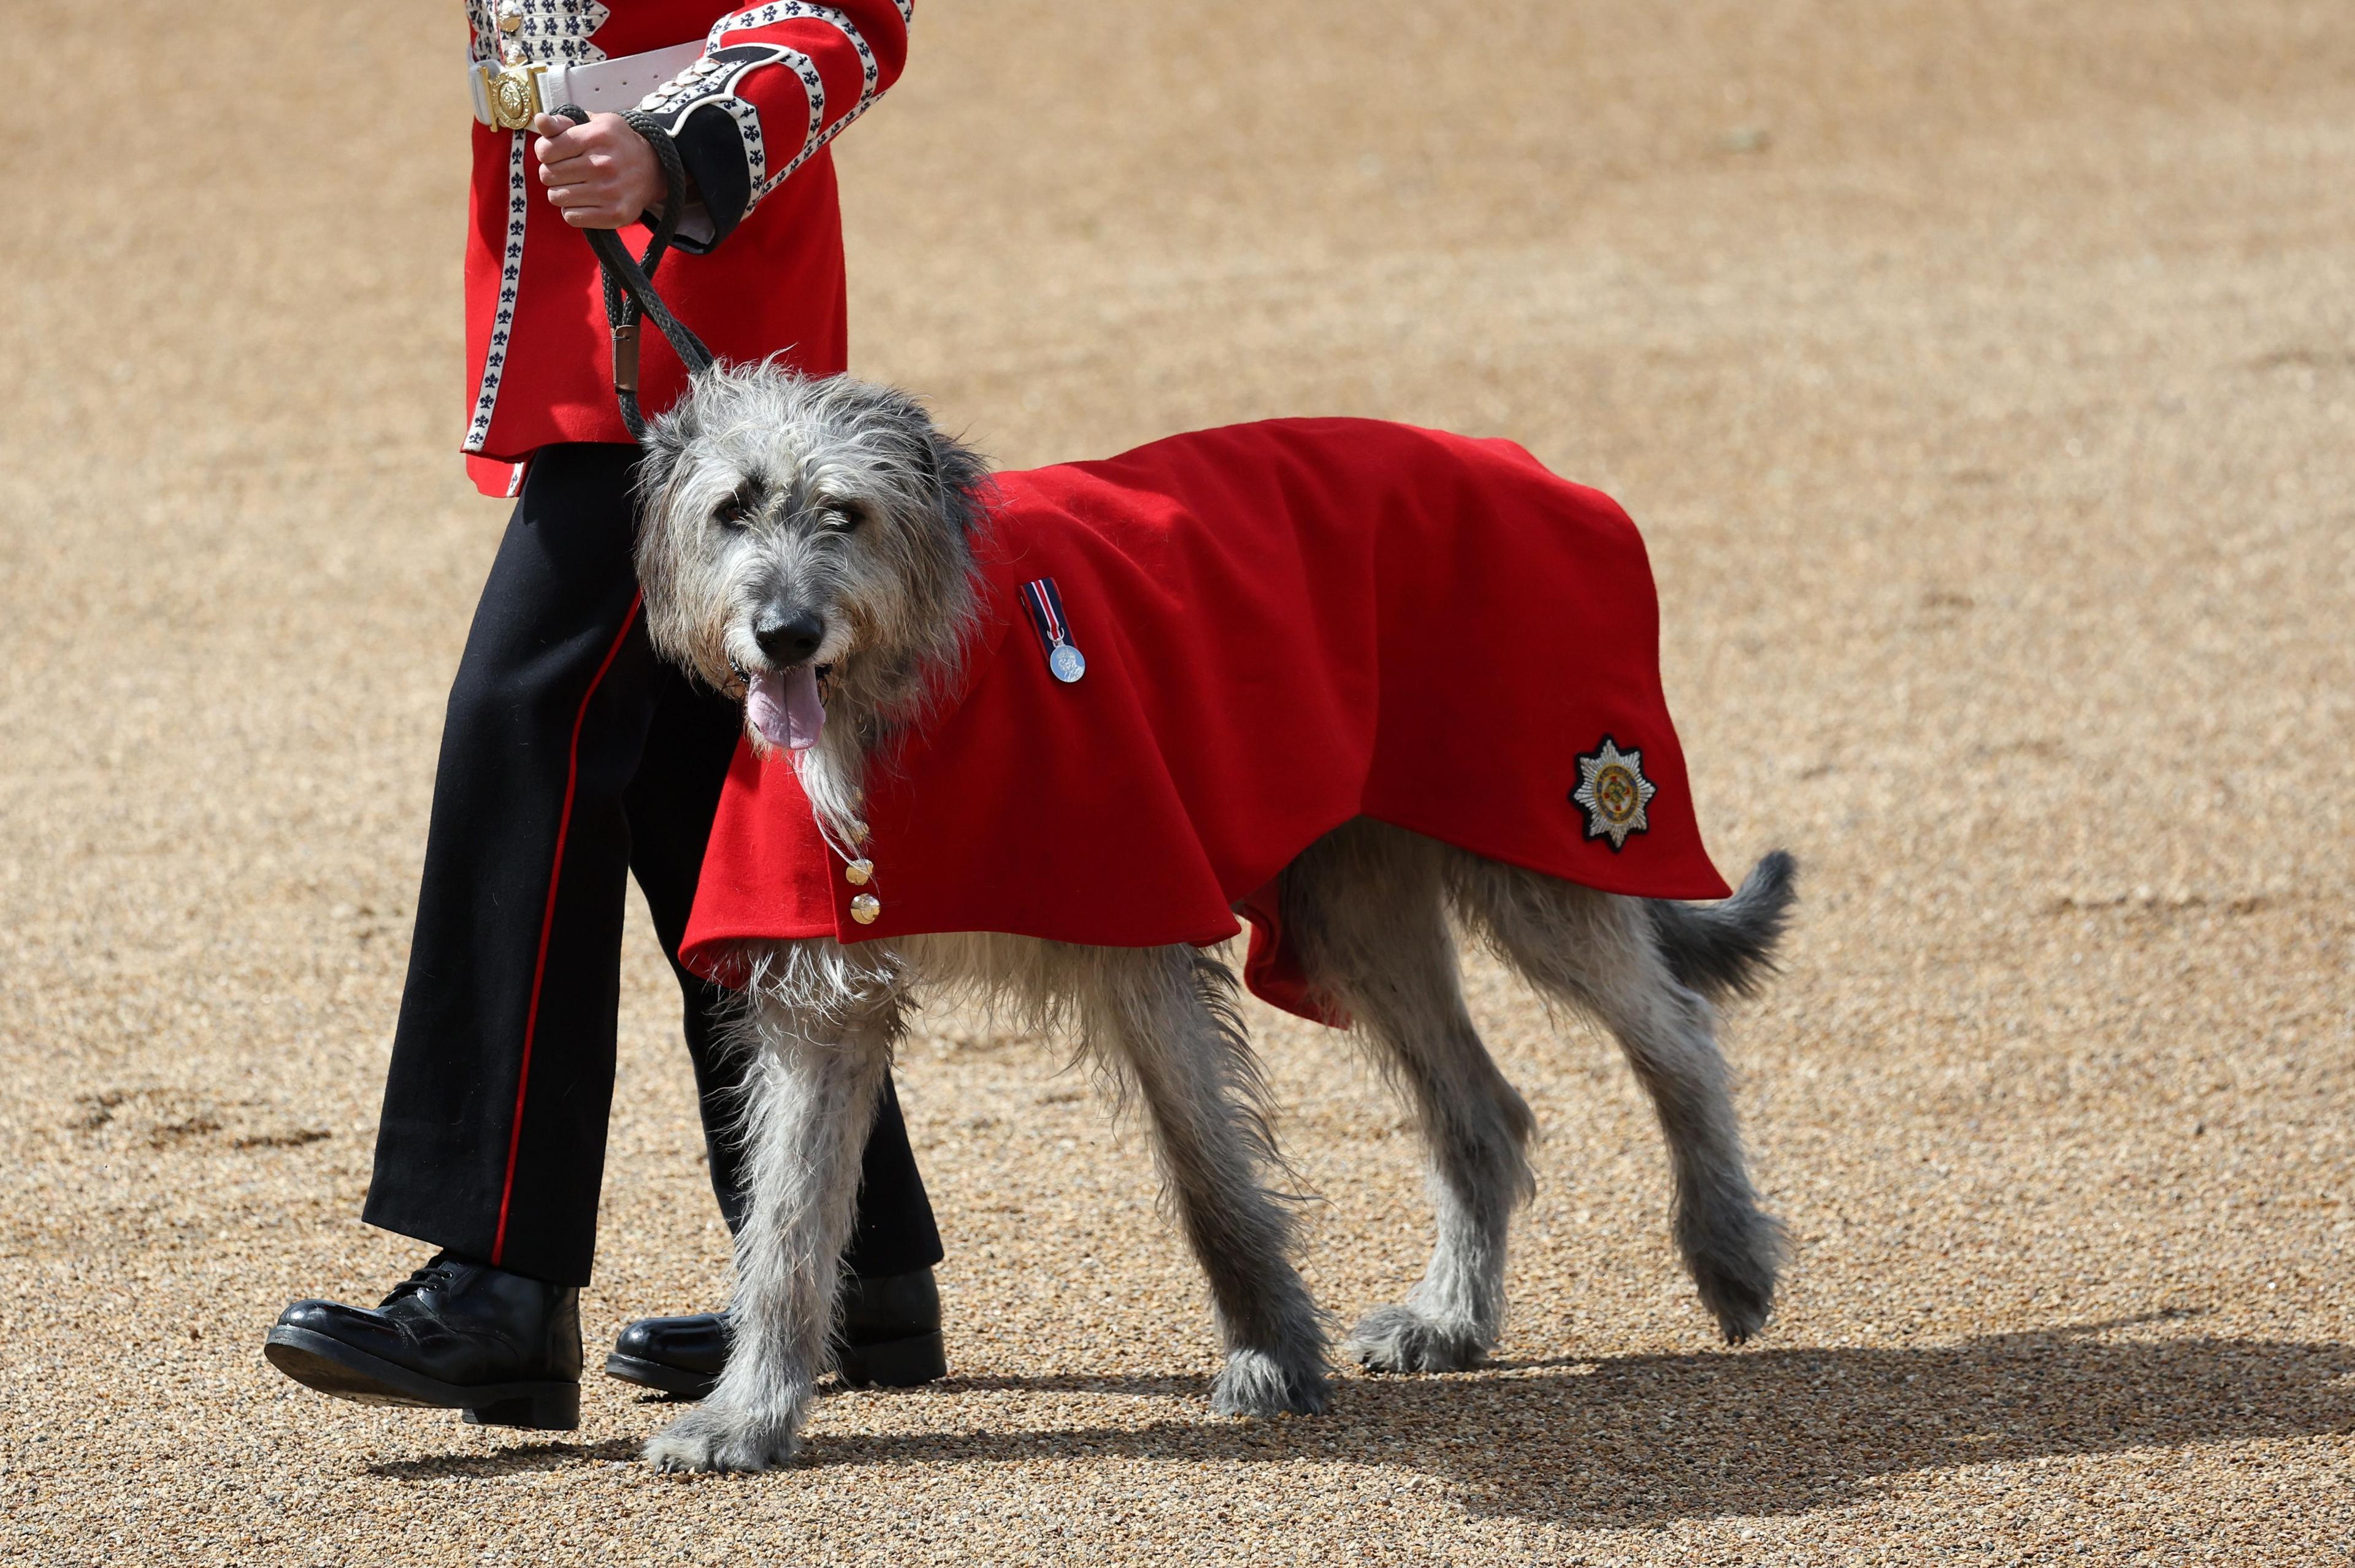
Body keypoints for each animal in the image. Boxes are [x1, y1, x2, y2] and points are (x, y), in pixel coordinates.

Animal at [631, 362, 1799, 1469]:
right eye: (734, 508)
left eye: (845, 513)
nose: (785, 633)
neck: (916, 693)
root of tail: (1526, 465)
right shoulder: (825, 992)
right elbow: (787, 1222)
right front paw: (747, 1414)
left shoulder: (1136, 926)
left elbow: (1208, 1171)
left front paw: (1273, 1354)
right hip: (1348, 907)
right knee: (1481, 1110)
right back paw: (1451, 1318)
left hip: (1535, 842)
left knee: (1676, 1033)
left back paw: (1728, 1249)